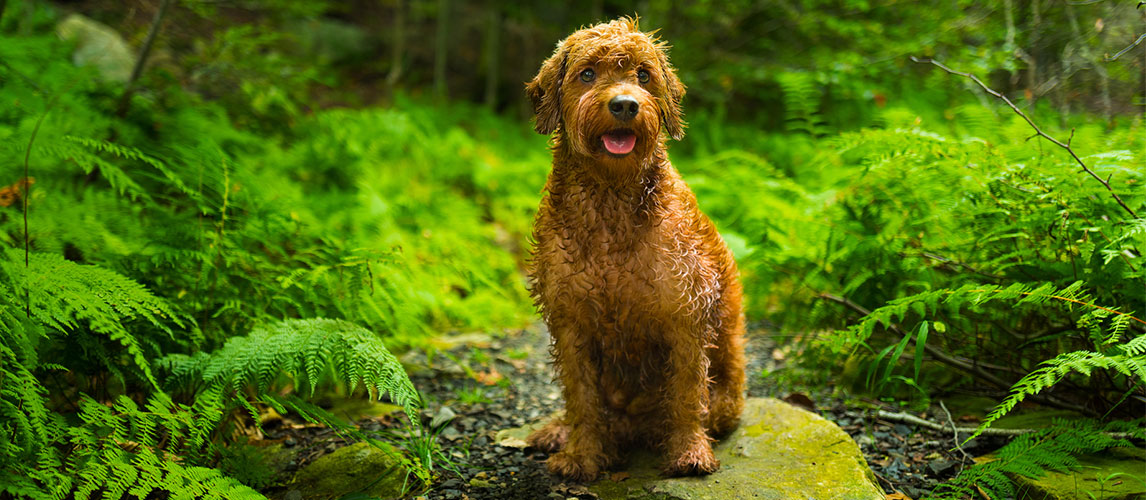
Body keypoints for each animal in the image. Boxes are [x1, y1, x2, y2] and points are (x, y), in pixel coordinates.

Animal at [524, 17, 747, 481]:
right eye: (587, 73)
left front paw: (689, 452)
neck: (611, 202)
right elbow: (582, 398)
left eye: (643, 75)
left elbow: (686, 394)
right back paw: (559, 431)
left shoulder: (685, 316)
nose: (625, 105)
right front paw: (582, 454)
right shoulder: (571, 322)